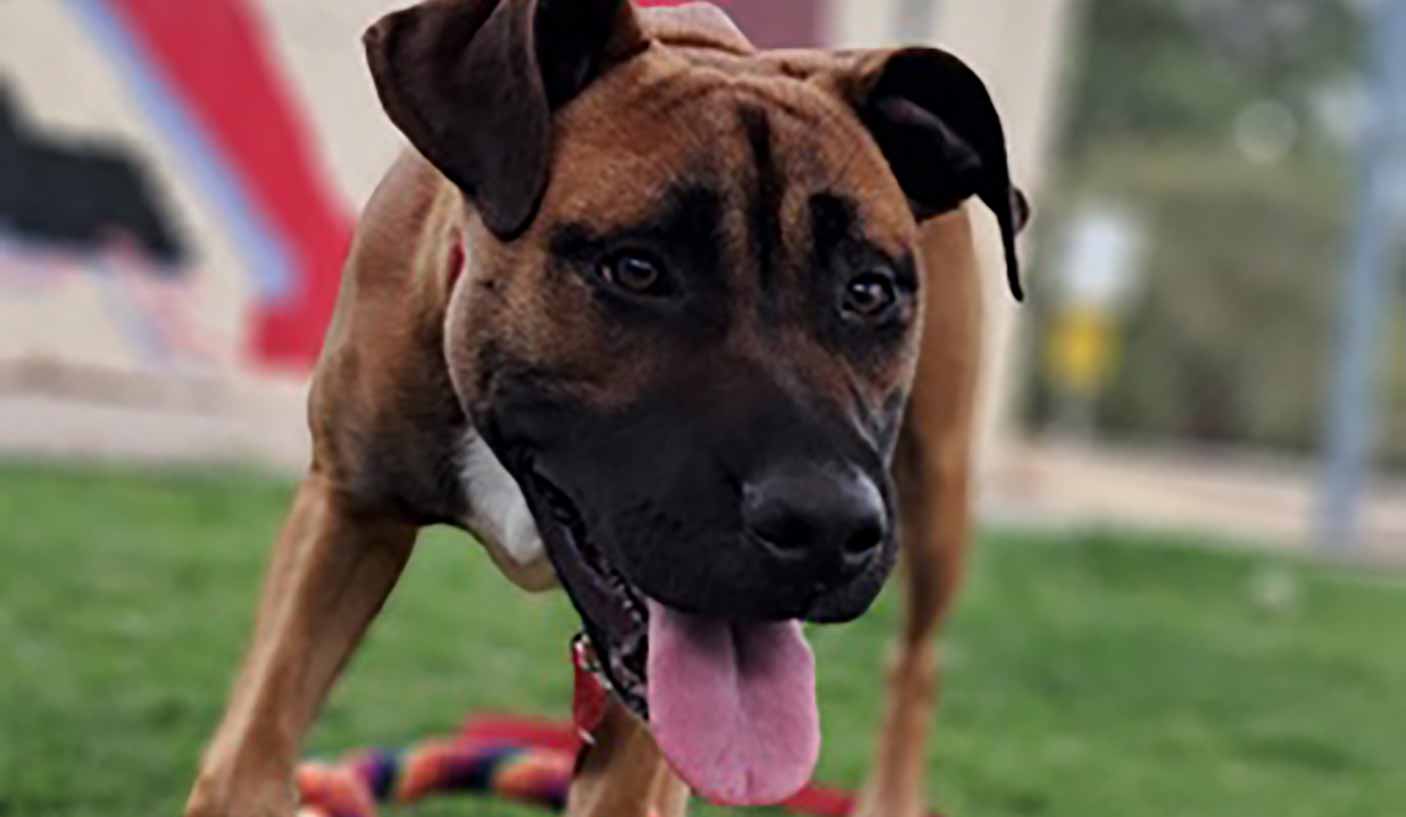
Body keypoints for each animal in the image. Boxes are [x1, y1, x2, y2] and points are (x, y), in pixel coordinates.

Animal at [184, 1, 1023, 815]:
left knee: (917, 662)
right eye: (637, 269)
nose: (825, 526)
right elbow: (247, 760)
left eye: (868, 291)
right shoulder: (346, 510)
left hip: (936, 488)